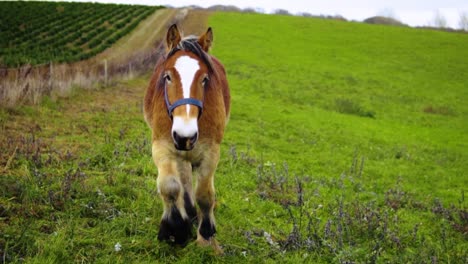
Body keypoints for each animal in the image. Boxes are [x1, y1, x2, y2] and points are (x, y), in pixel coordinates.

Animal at [143, 25, 230, 254]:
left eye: (204, 79)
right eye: (168, 76)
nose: (185, 136)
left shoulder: (211, 152)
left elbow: (205, 195)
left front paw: (206, 235)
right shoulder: (162, 146)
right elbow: (170, 186)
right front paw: (175, 228)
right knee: (183, 178)